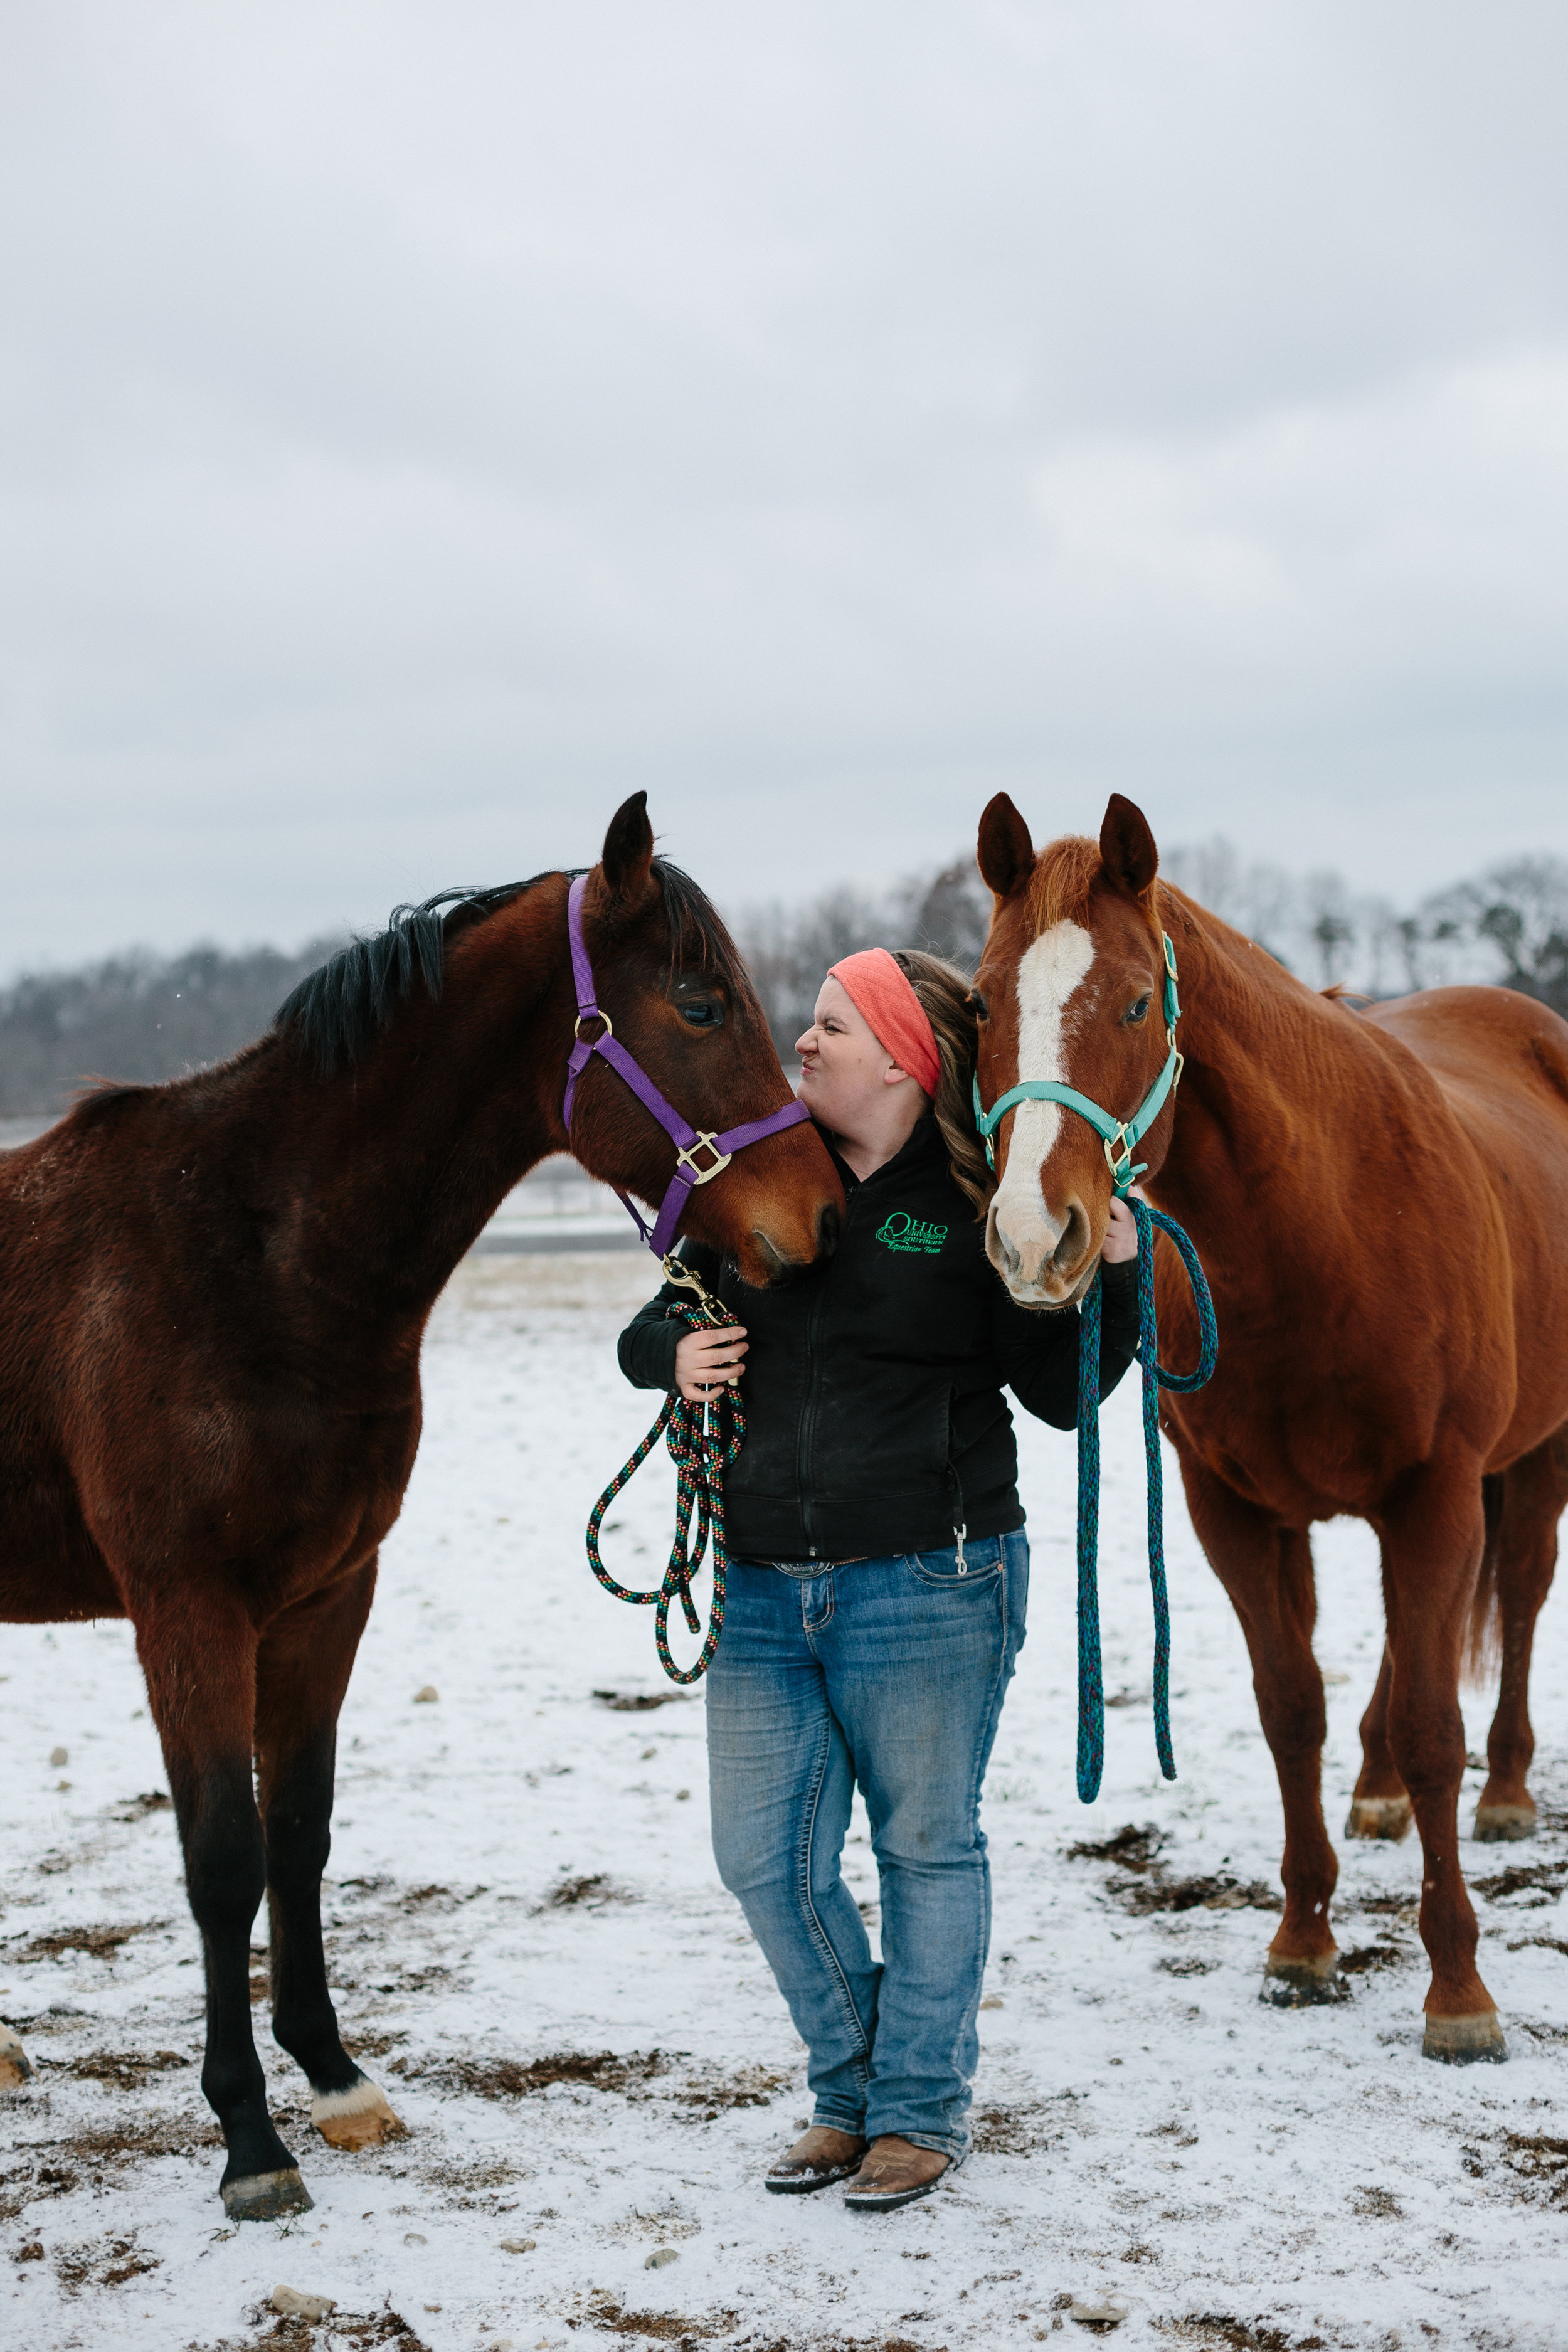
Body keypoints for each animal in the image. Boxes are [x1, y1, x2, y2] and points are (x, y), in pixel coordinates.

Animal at [0, 800, 846, 2211]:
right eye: (698, 1001)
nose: (824, 1216)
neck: (254, 1261)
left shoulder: (327, 1596)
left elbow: (299, 1831)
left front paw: (334, 2079)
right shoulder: (188, 1609)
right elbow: (223, 1857)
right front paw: (249, 2140)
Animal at [973, 790, 1560, 2060]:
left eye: (1136, 1002)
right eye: (985, 1001)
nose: (1037, 1241)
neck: (1319, 1224)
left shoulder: (1436, 1490)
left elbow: (1438, 1721)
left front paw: (1459, 1992)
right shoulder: (1233, 1511)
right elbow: (1292, 1709)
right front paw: (1303, 1942)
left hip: (1534, 1461)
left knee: (1522, 1599)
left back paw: (1505, 1793)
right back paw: (1377, 1792)